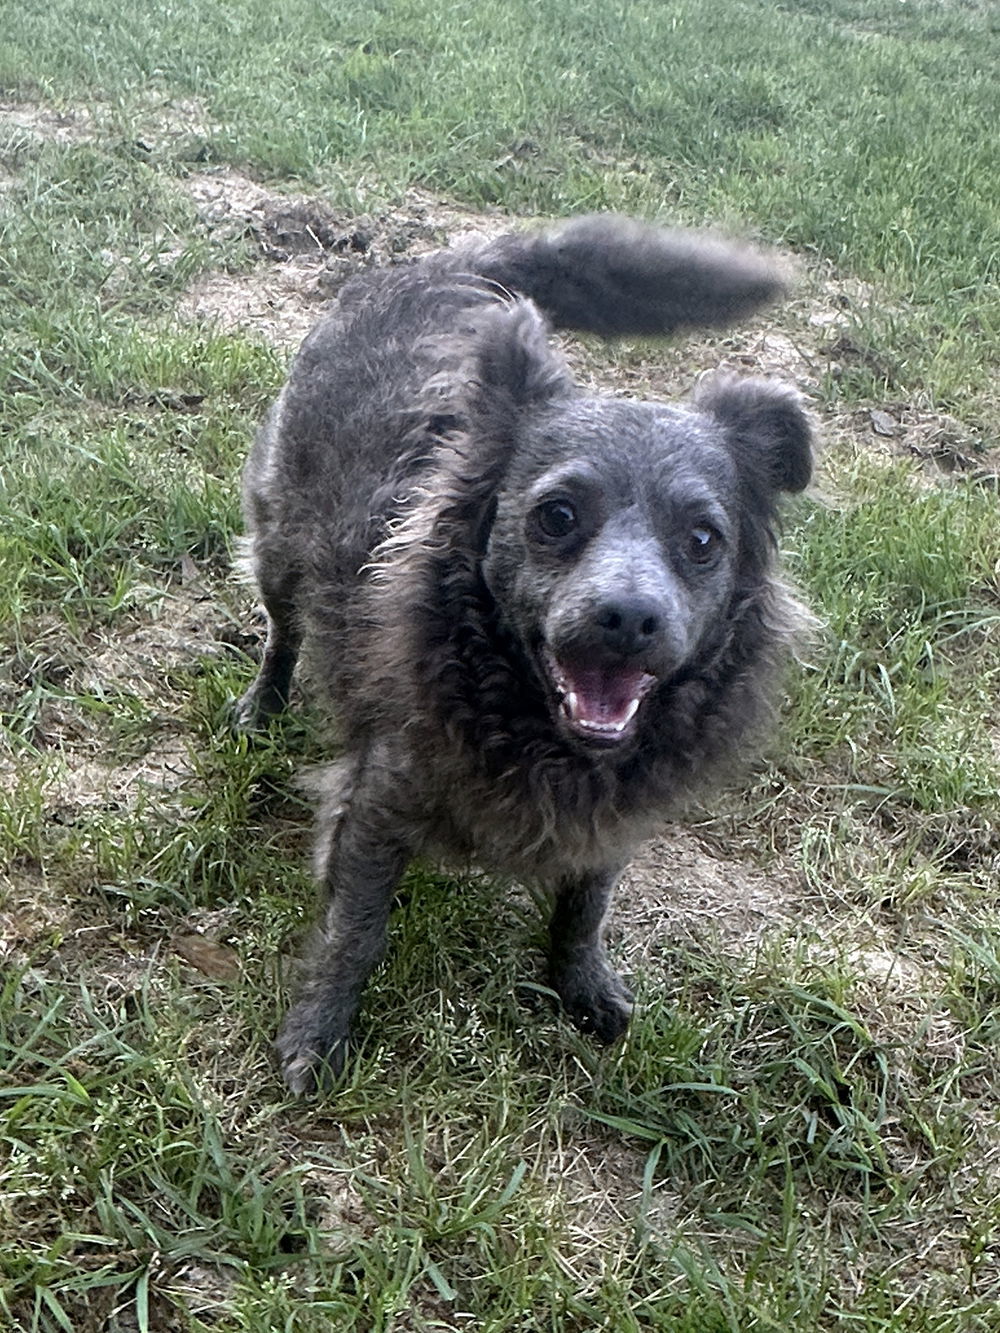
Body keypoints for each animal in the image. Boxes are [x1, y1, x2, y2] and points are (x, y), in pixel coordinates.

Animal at [237, 215, 816, 1093]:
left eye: (703, 539)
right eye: (558, 514)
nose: (629, 617)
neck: (532, 723)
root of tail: (442, 265)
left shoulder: (614, 822)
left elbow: (586, 905)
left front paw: (579, 983)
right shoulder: (377, 799)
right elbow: (355, 931)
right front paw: (319, 1032)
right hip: (279, 542)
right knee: (283, 627)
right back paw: (261, 704)